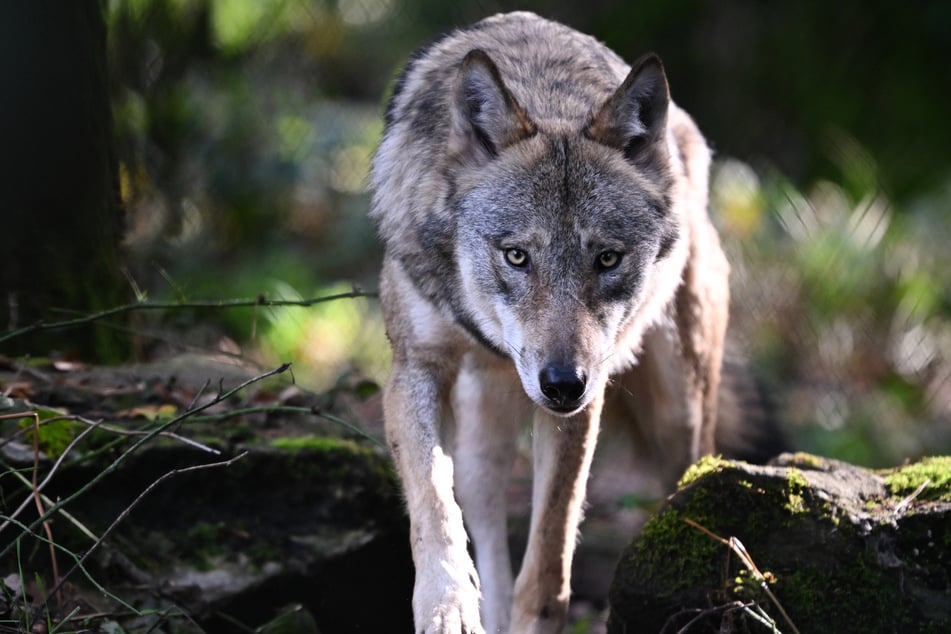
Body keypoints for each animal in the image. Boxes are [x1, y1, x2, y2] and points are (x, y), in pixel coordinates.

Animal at [371, 11, 737, 634]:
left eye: (607, 259)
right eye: (517, 255)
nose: (563, 383)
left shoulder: (583, 404)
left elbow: (548, 557)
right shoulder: (415, 366)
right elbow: (432, 500)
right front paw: (447, 605)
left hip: (678, 413)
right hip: (485, 422)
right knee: (480, 504)